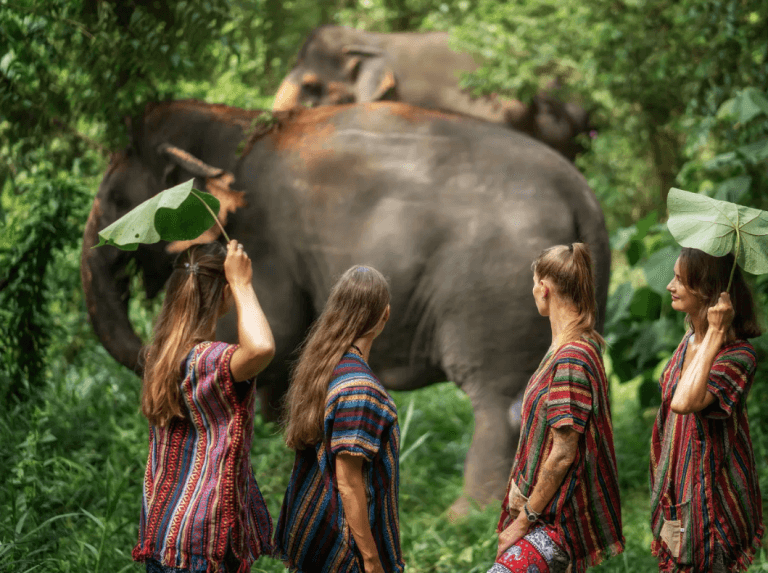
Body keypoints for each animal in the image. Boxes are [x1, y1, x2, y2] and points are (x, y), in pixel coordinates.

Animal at [81, 99, 610, 514]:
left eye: (116, 199)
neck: (234, 124)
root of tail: (582, 192)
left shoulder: (265, 243)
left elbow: (269, 332)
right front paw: (280, 442)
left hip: (493, 289)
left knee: (502, 405)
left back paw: (464, 516)